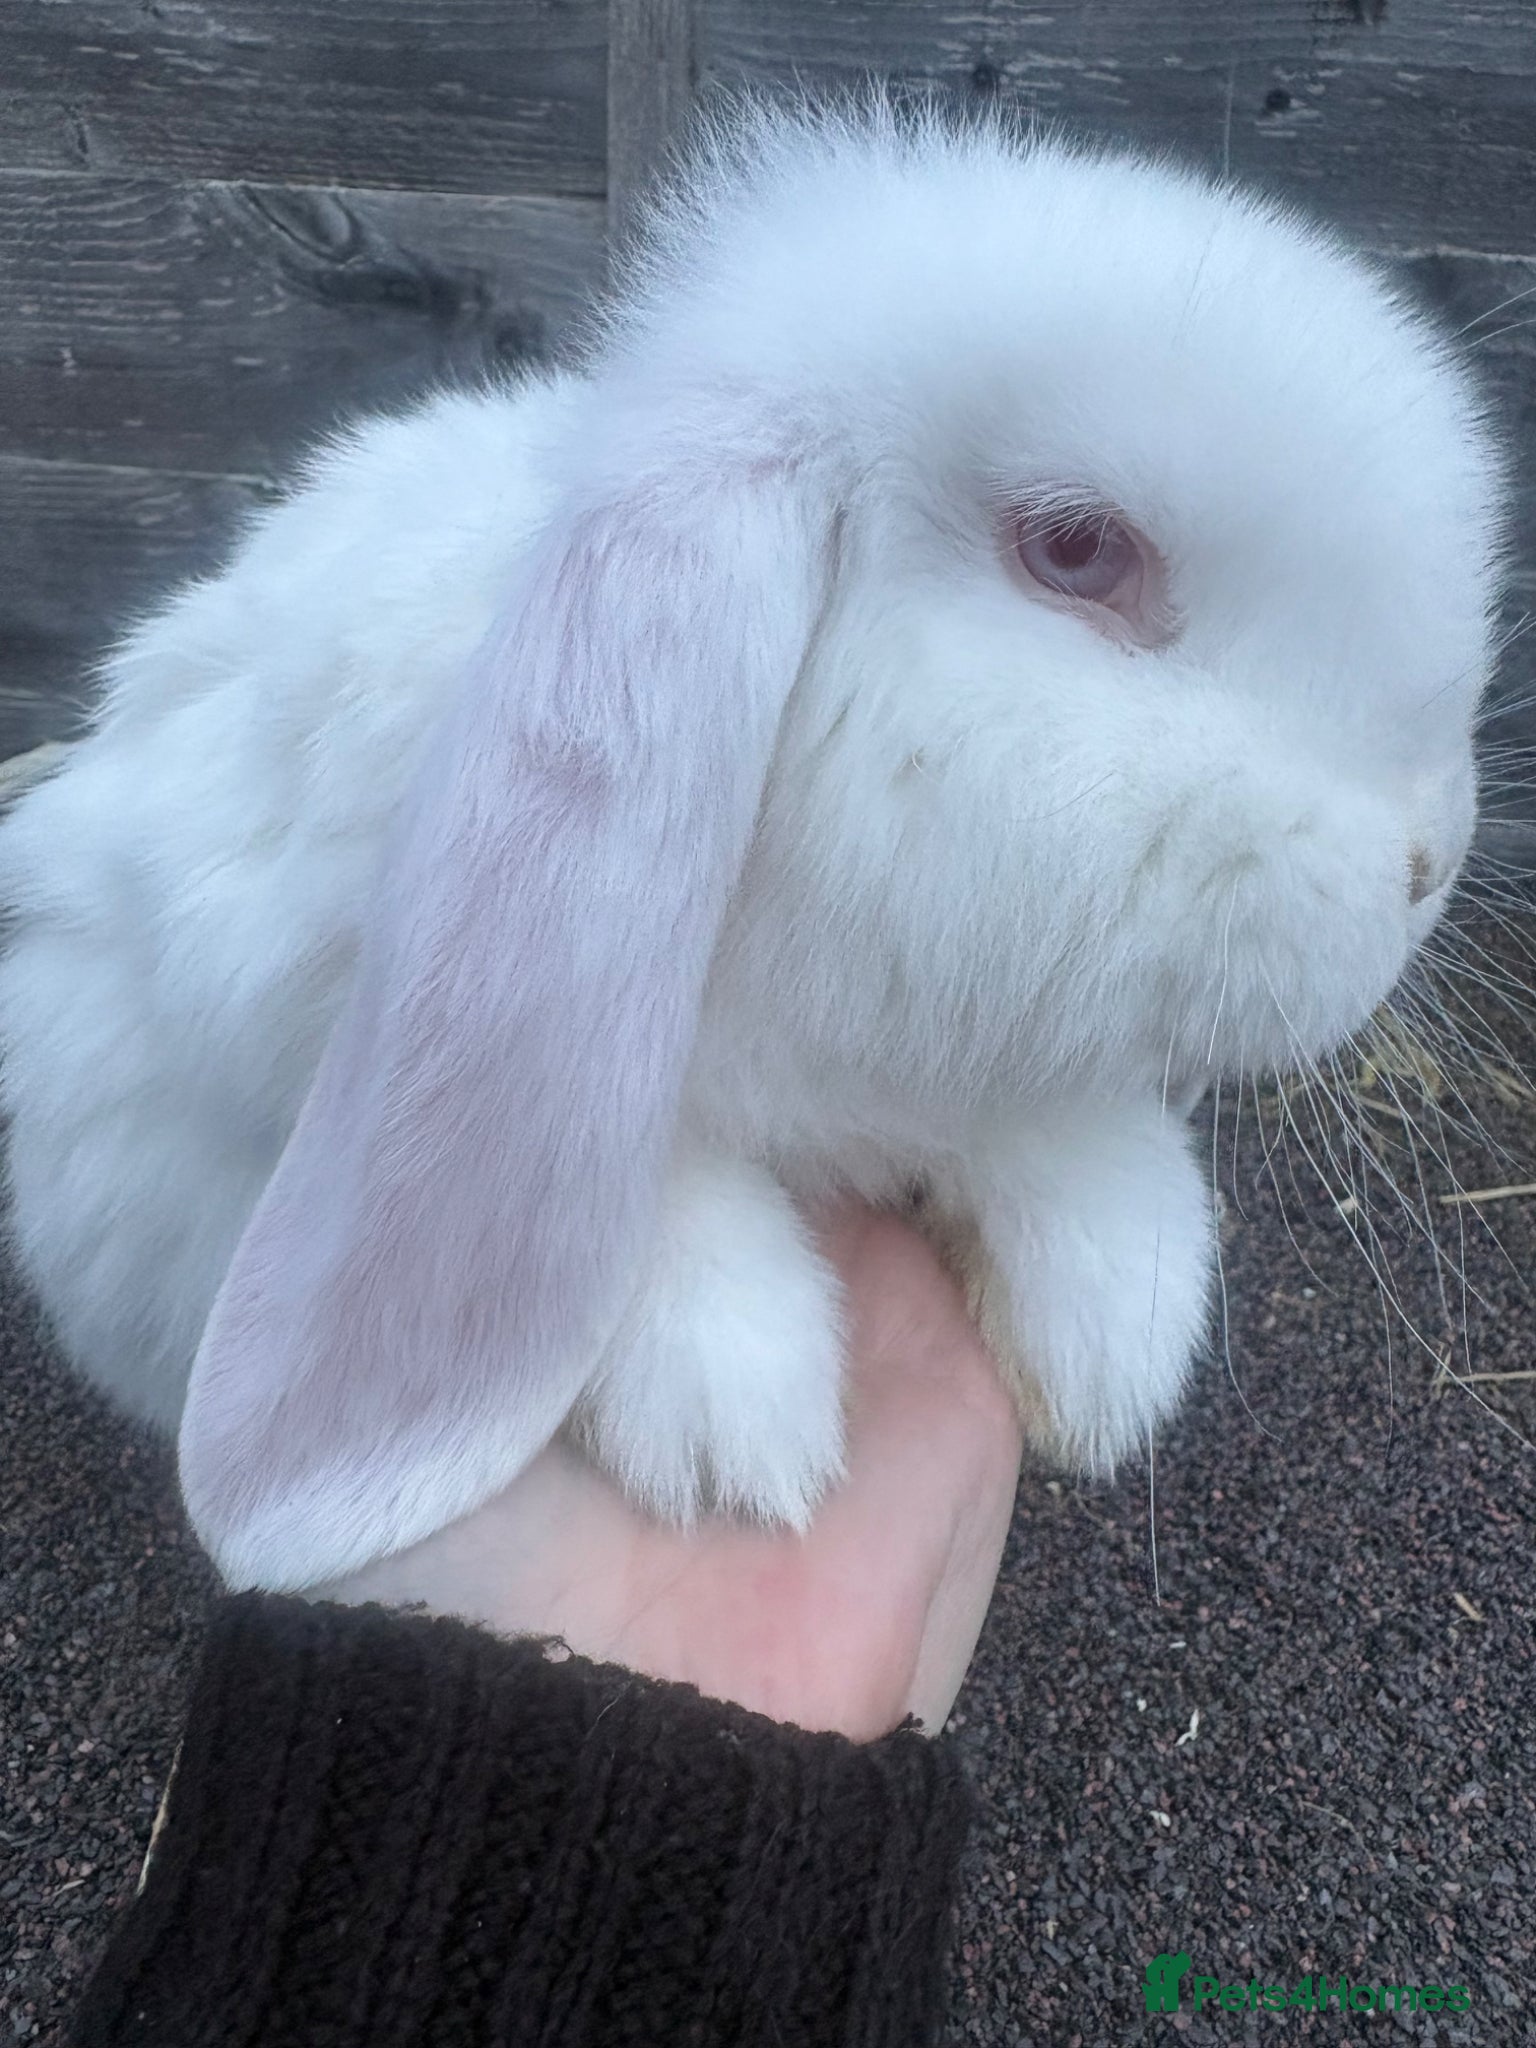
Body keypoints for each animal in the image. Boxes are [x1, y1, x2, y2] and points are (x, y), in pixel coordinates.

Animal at [0, 94, 1504, 1593]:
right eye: (1078, 550)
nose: (1429, 863)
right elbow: (608, 1180)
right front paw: (728, 1421)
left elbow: (1055, 1133)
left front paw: (1111, 1336)